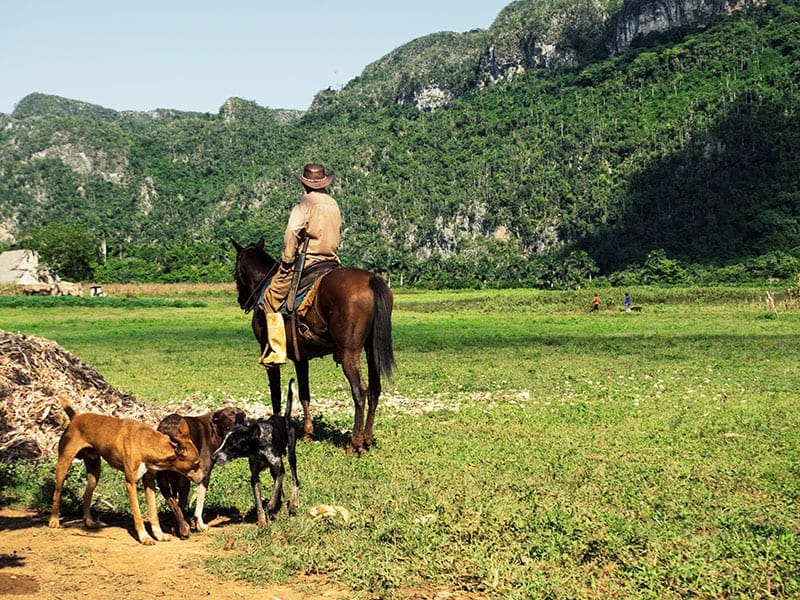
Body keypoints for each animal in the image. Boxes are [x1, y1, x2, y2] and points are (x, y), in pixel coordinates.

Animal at [47, 398, 203, 544]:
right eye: (196, 464)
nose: (203, 478)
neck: (146, 444)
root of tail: (75, 418)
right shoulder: (131, 483)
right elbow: (138, 514)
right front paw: (144, 537)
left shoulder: (149, 482)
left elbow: (153, 513)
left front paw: (159, 535)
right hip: (63, 464)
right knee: (57, 492)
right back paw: (54, 520)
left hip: (94, 472)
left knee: (87, 495)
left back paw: (89, 522)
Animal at [155, 408, 244, 540]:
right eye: (230, 414)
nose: (243, 416)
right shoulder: (204, 475)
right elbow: (199, 504)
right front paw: (200, 526)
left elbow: (176, 505)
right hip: (184, 483)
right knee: (180, 504)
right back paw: (184, 530)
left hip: (164, 483)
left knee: (175, 505)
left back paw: (179, 528)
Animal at [211, 380, 298, 524]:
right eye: (223, 441)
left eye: (232, 444)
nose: (212, 457)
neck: (259, 447)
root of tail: (285, 418)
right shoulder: (255, 476)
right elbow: (259, 502)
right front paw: (262, 521)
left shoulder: (280, 470)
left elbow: (275, 490)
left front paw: (271, 506)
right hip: (274, 469)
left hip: (291, 457)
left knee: (295, 481)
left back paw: (292, 505)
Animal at [230, 238, 396, 454]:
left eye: (236, 272)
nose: (242, 301)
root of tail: (371, 280)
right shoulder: (301, 357)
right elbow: (304, 393)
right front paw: (308, 433)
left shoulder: (269, 355)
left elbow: (275, 392)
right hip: (371, 350)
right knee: (375, 389)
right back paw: (366, 439)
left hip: (349, 353)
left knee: (360, 391)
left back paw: (354, 444)